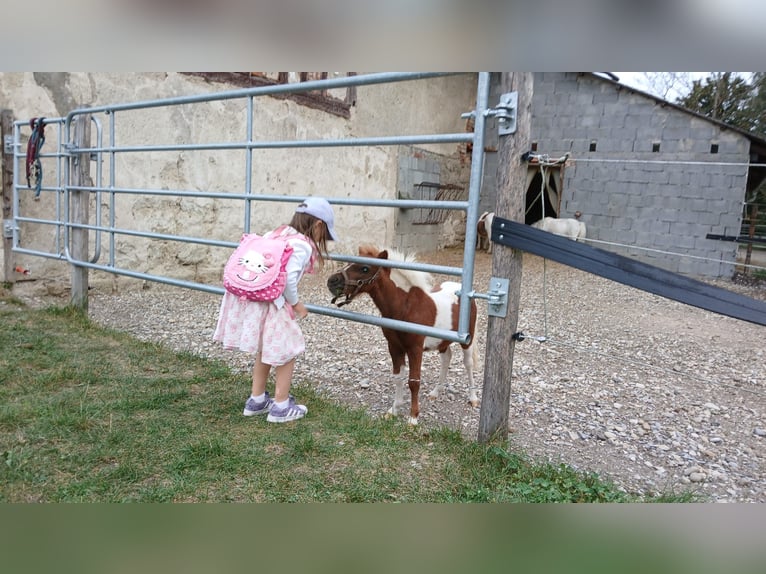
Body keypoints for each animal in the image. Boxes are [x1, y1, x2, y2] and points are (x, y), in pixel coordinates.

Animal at [328, 245, 484, 426]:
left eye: (365, 268)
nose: (332, 281)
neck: (406, 307)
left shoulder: (415, 349)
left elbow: (413, 381)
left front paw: (413, 418)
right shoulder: (394, 347)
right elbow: (398, 377)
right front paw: (394, 410)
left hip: (467, 340)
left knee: (468, 364)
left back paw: (473, 398)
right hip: (442, 341)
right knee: (446, 359)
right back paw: (435, 392)